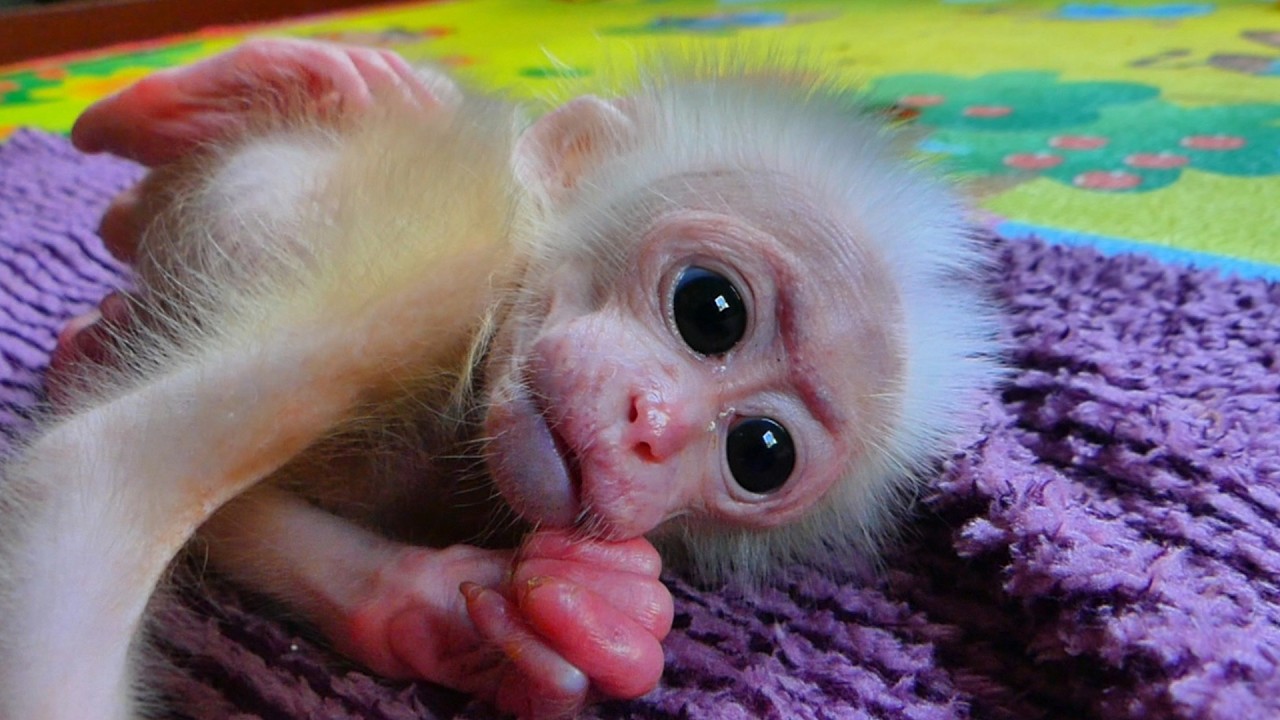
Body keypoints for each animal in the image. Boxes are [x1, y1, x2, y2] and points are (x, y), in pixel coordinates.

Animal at [0, 39, 1002, 720]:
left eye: (761, 452)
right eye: (711, 309)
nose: (653, 426)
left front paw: (470, 621)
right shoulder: (426, 278)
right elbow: (90, 463)